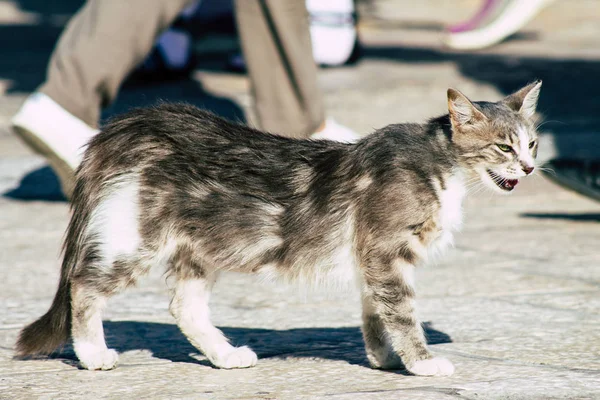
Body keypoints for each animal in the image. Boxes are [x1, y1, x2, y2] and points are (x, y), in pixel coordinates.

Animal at [14, 80, 540, 376]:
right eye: (503, 147)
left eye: (532, 142)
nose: (531, 167)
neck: (441, 164)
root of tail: (130, 125)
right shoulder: (386, 251)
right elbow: (403, 314)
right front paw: (423, 363)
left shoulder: (373, 257)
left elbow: (375, 312)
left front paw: (384, 359)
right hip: (137, 238)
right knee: (83, 284)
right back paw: (92, 353)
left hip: (200, 245)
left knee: (184, 307)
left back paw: (225, 357)